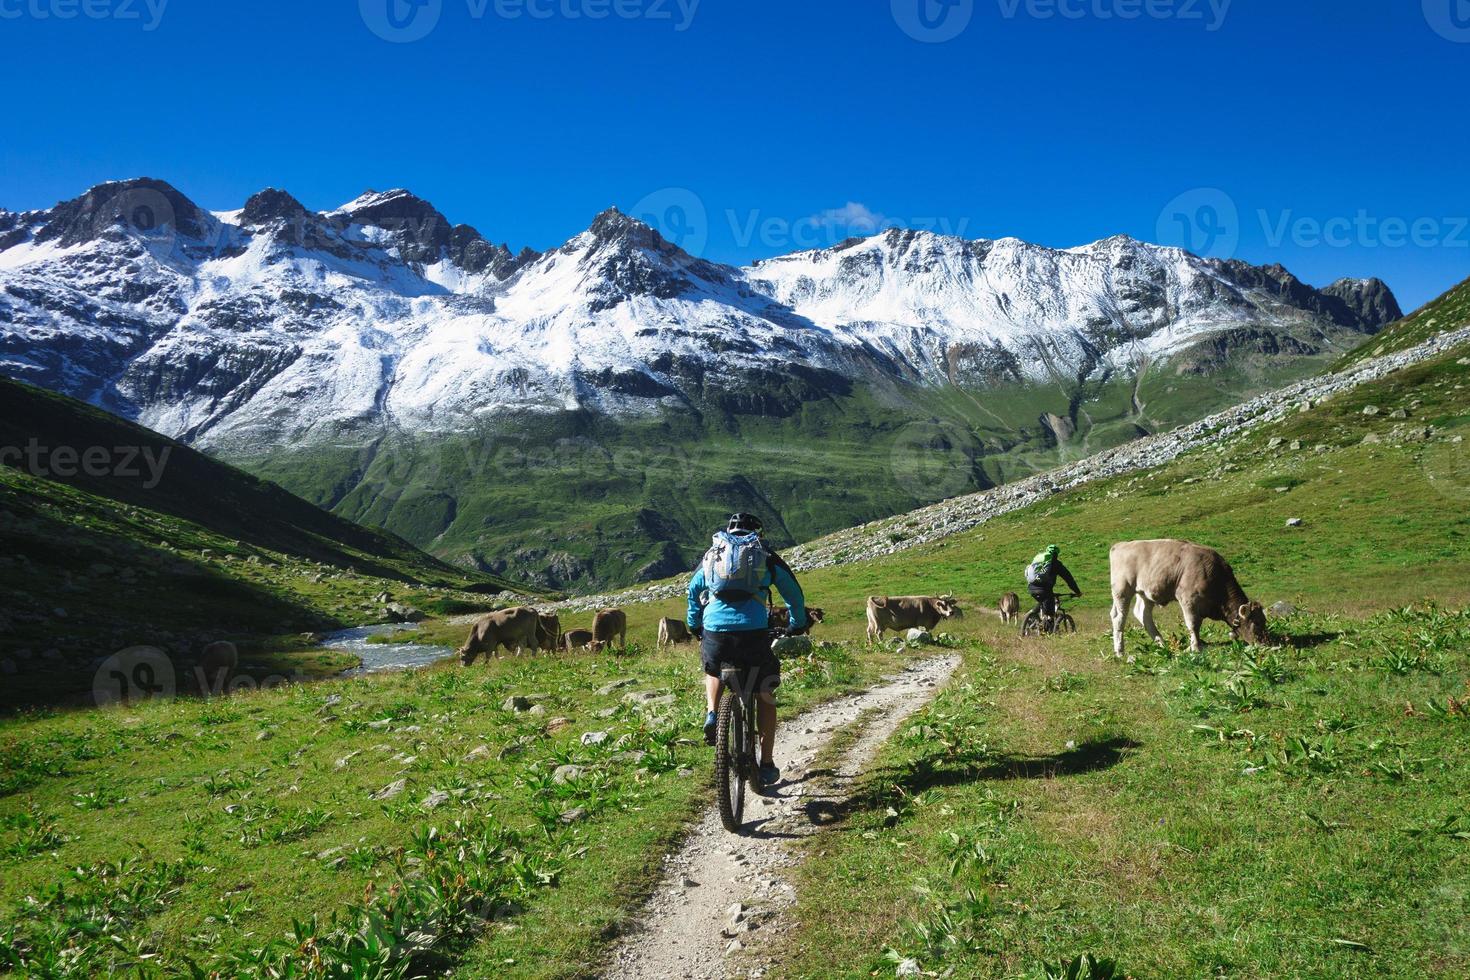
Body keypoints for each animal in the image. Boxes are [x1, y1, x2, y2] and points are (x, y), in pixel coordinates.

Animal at [1105, 540, 1270, 655]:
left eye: (1264, 621)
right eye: (1255, 623)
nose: (1265, 643)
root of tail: (1121, 545)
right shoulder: (1188, 599)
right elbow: (1193, 624)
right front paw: (1195, 648)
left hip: (1146, 593)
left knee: (1143, 614)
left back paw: (1161, 643)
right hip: (1122, 589)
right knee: (1119, 617)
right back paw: (1120, 651)